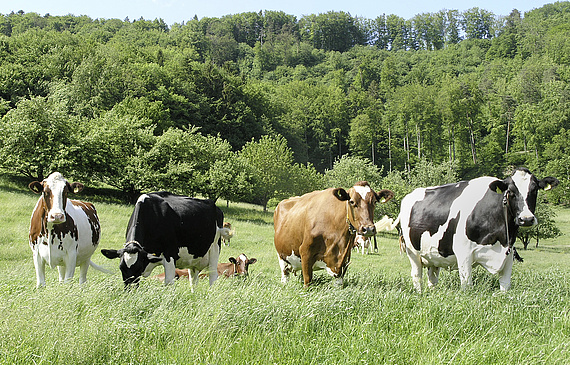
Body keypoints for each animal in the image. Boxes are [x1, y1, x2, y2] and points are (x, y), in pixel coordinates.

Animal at [394, 167, 556, 290]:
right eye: (510, 191)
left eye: (535, 190)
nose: (526, 219)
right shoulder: (463, 254)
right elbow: (467, 286)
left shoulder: (508, 255)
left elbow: (505, 286)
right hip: (413, 252)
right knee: (417, 275)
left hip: (433, 254)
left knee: (432, 278)